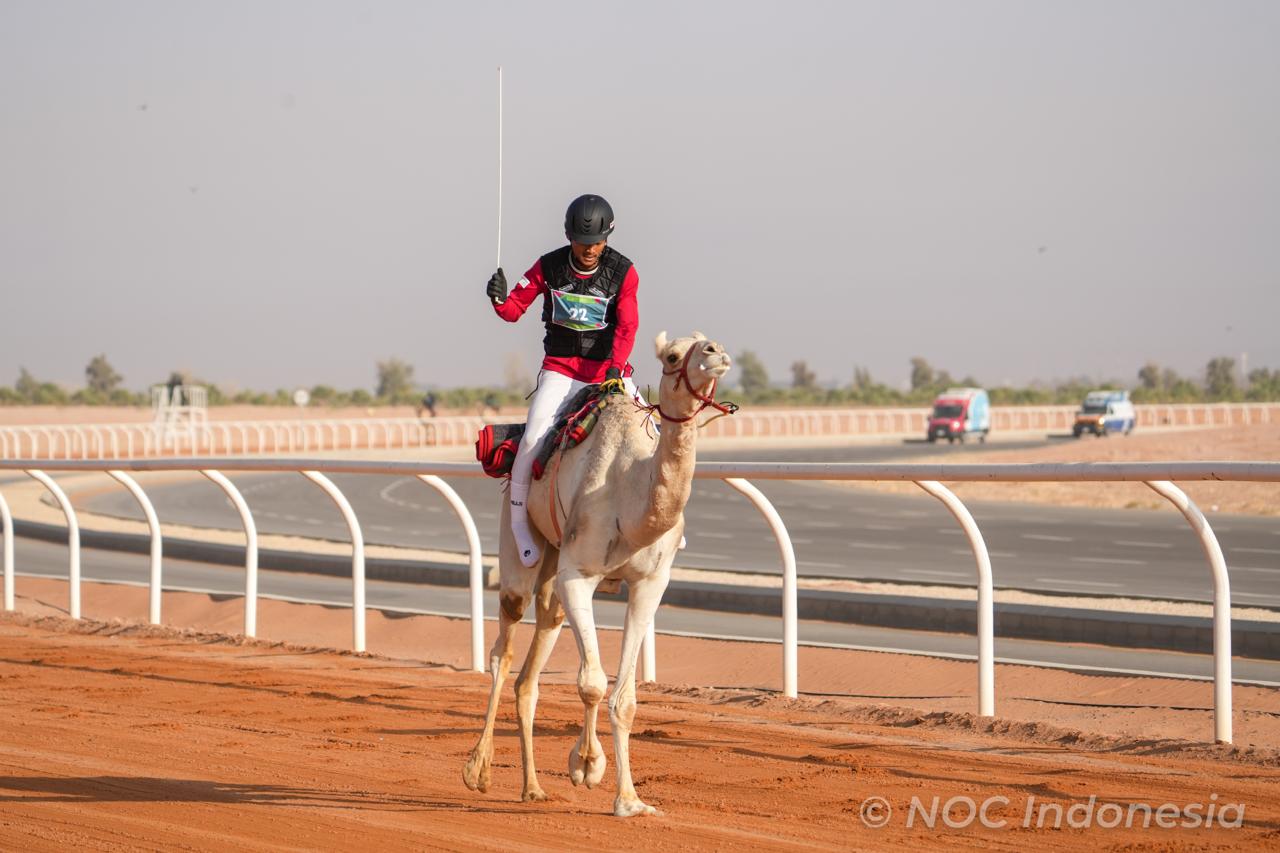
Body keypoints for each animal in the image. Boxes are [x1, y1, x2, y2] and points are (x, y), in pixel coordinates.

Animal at [462, 331, 733, 817]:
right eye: (672, 356)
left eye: (706, 341)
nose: (715, 352)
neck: (629, 495)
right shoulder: (579, 574)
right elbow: (590, 682)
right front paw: (587, 765)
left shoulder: (650, 584)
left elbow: (624, 699)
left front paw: (629, 800)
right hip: (521, 543)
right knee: (503, 648)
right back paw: (479, 771)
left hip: (555, 566)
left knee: (536, 655)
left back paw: (533, 788)